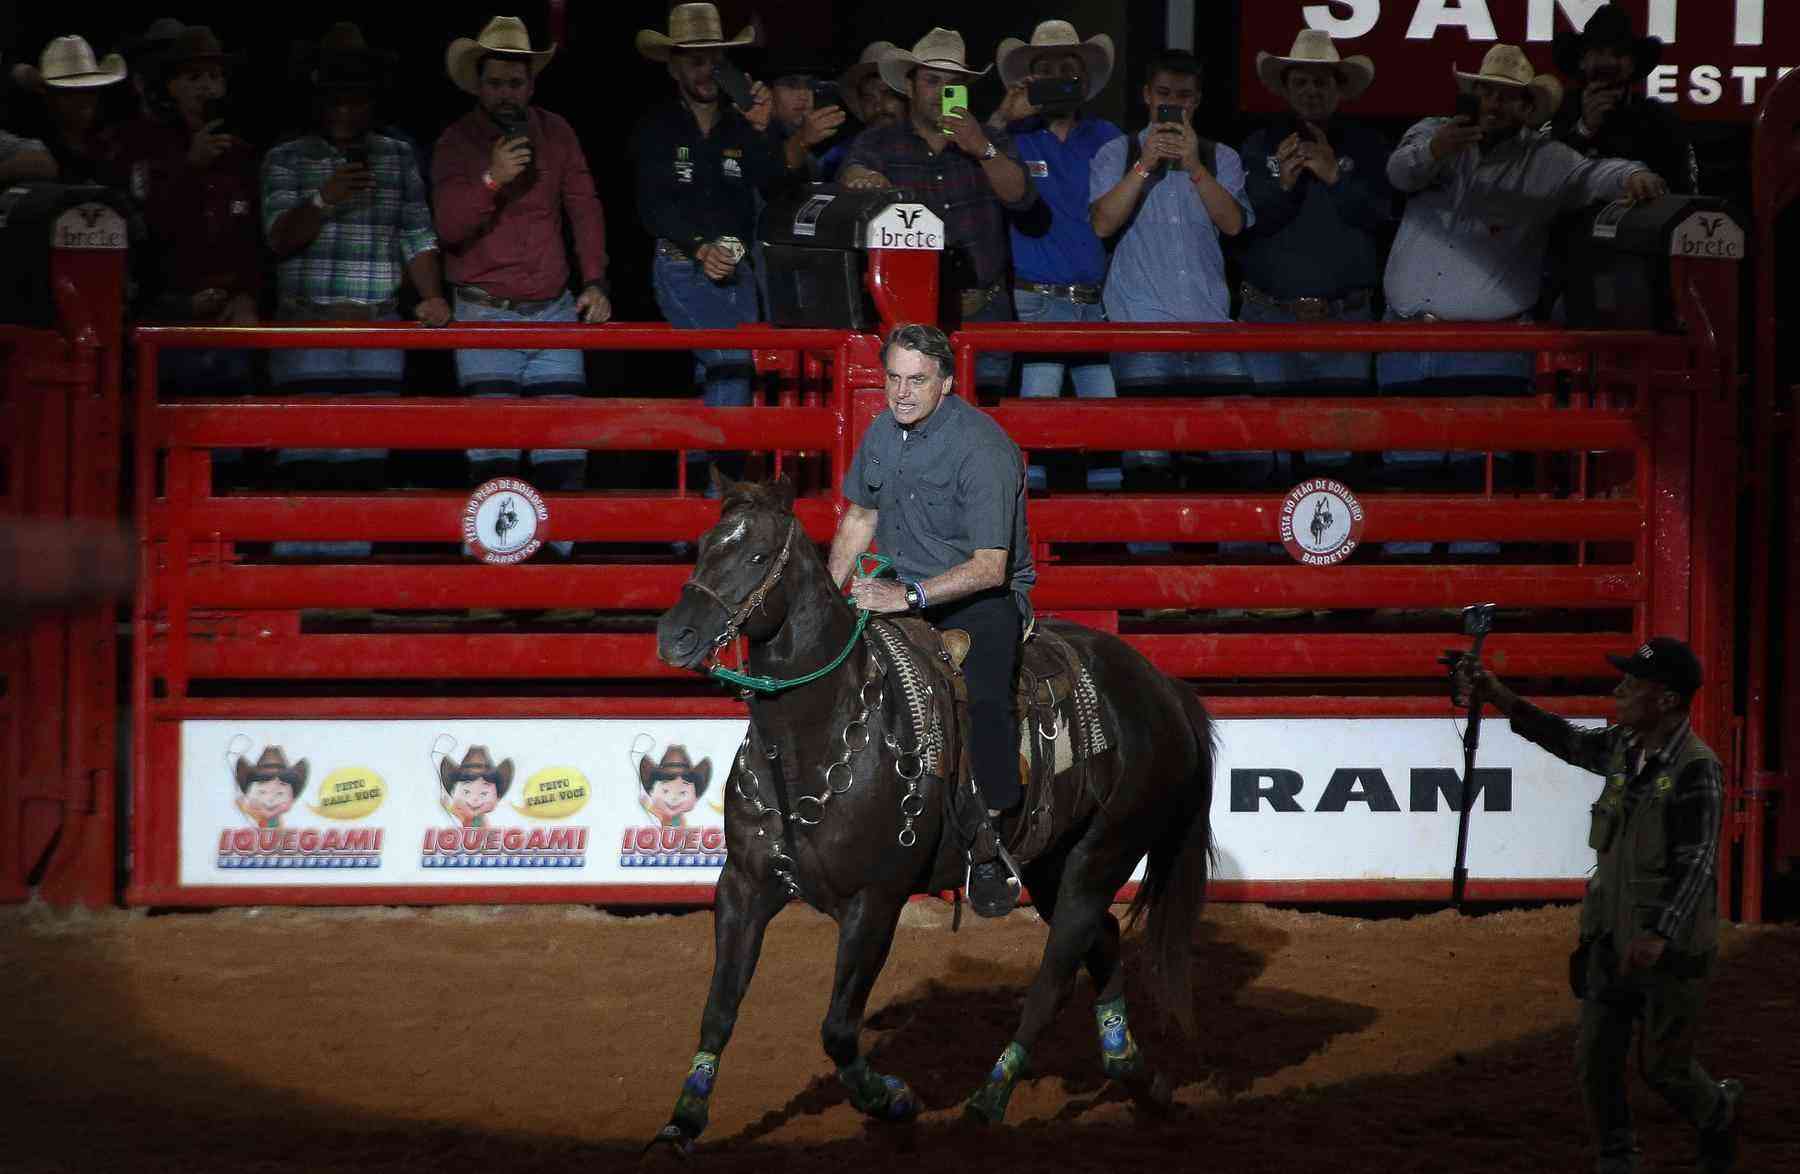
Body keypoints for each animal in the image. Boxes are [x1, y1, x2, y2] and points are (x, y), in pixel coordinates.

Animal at [655, 482, 1216, 1152]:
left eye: (759, 554)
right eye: (704, 545)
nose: (676, 635)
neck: (811, 738)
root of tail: (1163, 688)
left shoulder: (875, 902)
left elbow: (838, 1027)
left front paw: (890, 1099)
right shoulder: (743, 887)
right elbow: (719, 1010)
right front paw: (683, 1119)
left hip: (1099, 856)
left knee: (1055, 975)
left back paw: (991, 1096)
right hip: (1051, 864)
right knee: (1100, 939)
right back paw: (1134, 1074)